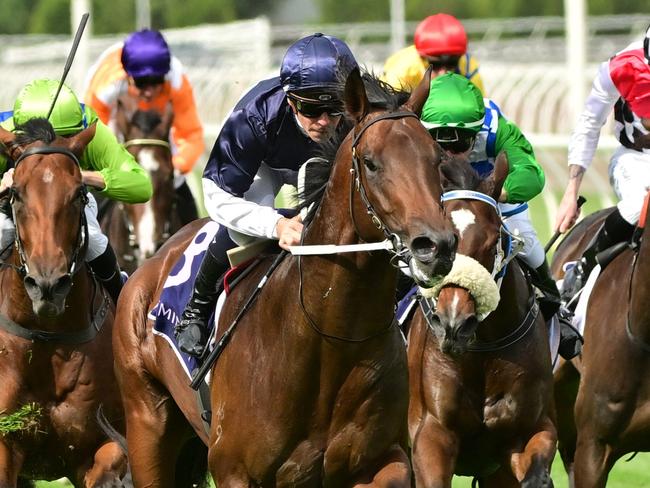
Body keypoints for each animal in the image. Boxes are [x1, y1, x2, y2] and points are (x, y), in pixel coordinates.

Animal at [0, 120, 127, 486]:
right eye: (16, 194)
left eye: (78, 194)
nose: (48, 286)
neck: (47, 339)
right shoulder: (6, 445)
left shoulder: (104, 445)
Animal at [112, 66, 456, 486]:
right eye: (371, 163)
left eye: (437, 159)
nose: (435, 246)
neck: (330, 336)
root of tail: (148, 266)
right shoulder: (233, 469)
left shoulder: (382, 458)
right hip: (147, 423)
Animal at [408, 153, 556, 488]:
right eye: (434, 247)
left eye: (492, 243)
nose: (452, 324)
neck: (483, 349)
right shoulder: (431, 433)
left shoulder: (530, 430)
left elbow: (536, 470)